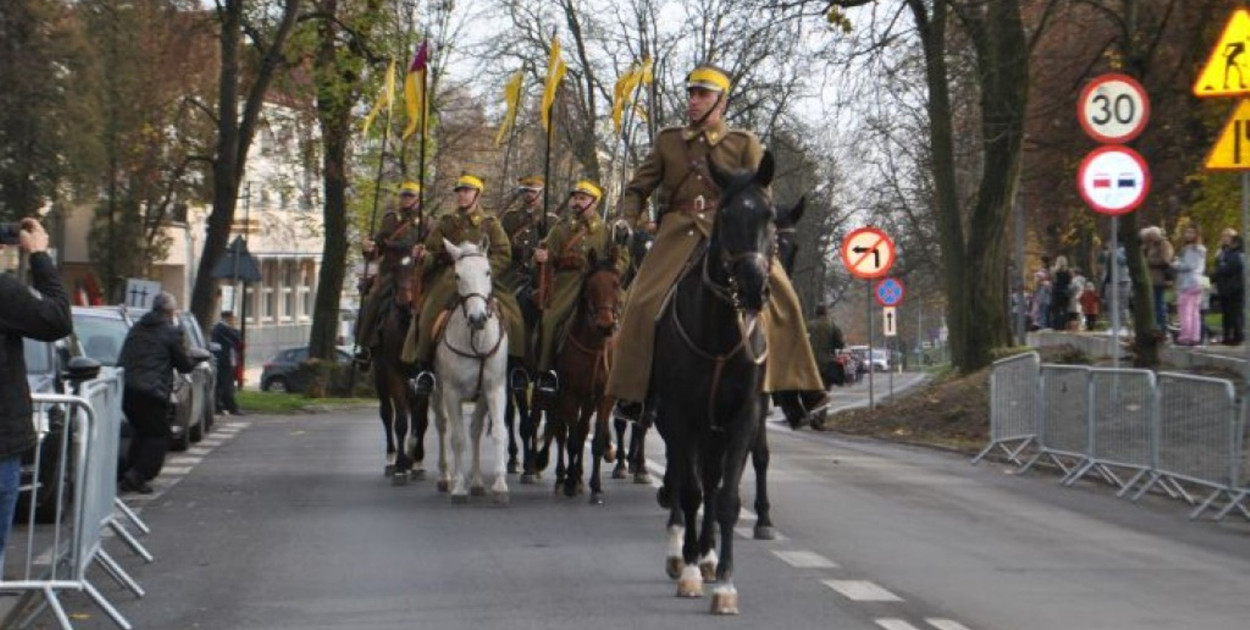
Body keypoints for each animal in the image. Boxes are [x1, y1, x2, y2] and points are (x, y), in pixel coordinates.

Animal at [430, 238, 507, 505]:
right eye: (457, 275)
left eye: (488, 271)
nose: (477, 318)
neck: (476, 340)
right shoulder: (452, 392)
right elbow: (458, 439)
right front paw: (459, 488)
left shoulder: (493, 389)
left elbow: (497, 432)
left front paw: (499, 486)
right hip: (437, 391)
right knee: (443, 426)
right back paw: (447, 477)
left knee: (474, 430)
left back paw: (477, 482)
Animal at [535, 250, 622, 502]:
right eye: (591, 286)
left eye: (616, 284)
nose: (605, 325)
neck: (593, 346)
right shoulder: (569, 394)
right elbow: (571, 441)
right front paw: (570, 483)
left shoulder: (603, 398)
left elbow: (596, 440)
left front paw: (595, 486)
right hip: (556, 397)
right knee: (562, 433)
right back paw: (562, 477)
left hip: (587, 400)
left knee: (582, 431)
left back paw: (581, 477)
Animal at [650, 148, 775, 615]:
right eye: (725, 216)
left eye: (769, 215)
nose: (755, 288)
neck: (721, 333)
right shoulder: (681, 416)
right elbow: (690, 492)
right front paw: (687, 570)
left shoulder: (743, 417)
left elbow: (725, 498)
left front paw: (723, 583)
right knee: (686, 482)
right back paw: (682, 552)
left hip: (715, 431)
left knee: (711, 481)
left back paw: (705, 555)